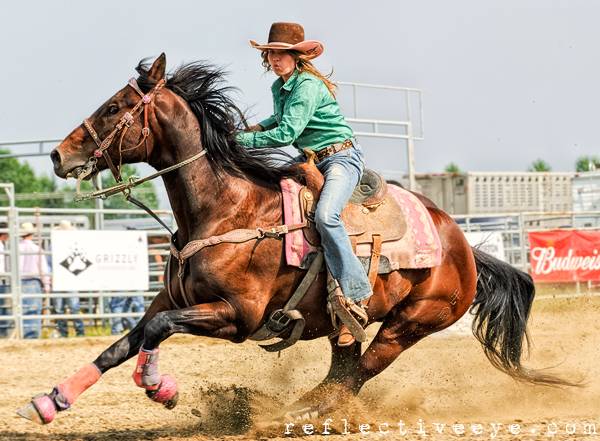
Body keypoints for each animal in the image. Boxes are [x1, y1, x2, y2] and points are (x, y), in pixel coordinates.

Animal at [17, 53, 572, 424]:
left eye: (114, 107)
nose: (57, 155)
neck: (225, 211)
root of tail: (462, 244)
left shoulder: (237, 316)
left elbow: (156, 332)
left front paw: (160, 388)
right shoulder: (167, 300)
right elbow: (123, 344)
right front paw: (48, 402)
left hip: (411, 323)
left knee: (358, 373)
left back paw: (294, 413)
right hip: (346, 326)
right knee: (346, 366)